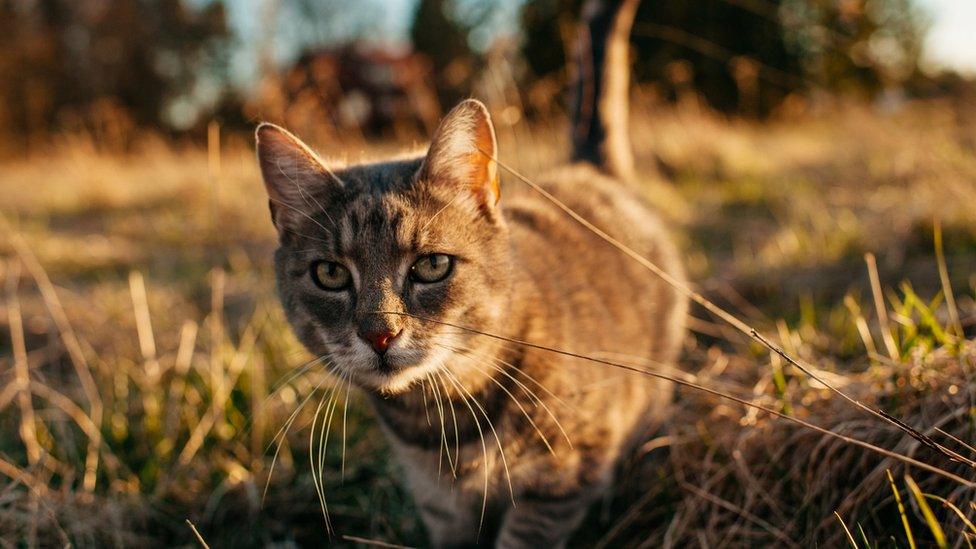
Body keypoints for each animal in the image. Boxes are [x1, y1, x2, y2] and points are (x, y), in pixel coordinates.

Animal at [255, 0, 688, 544]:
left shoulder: (562, 478)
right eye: (330, 274)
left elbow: (526, 535)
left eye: (432, 265)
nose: (380, 334)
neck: (441, 419)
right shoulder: (440, 504)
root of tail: (591, 168)